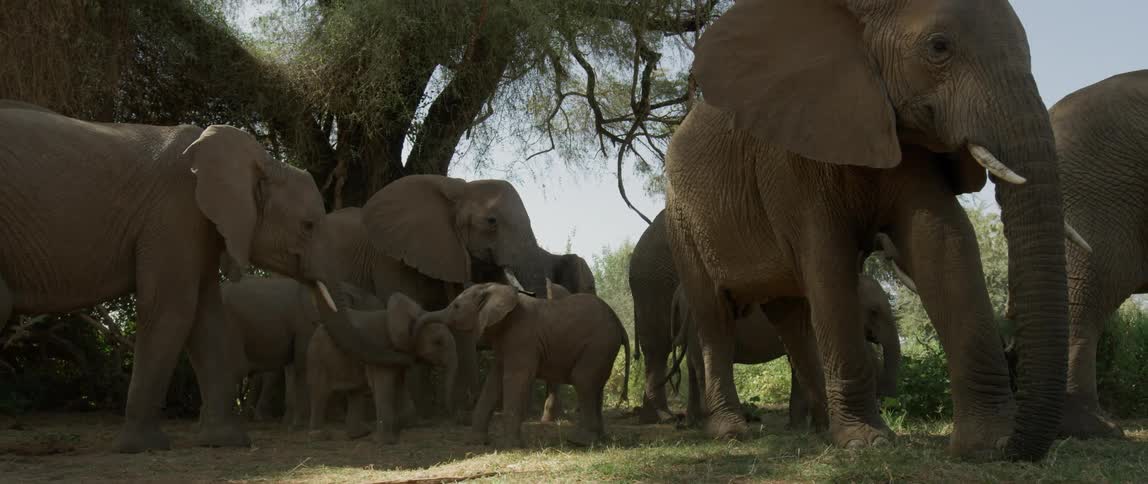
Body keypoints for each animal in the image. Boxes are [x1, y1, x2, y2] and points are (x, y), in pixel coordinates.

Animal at [0, 101, 412, 453]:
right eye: (308, 226)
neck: (259, 159)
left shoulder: (198, 225)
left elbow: (205, 316)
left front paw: (226, 442)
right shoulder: (175, 212)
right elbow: (172, 308)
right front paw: (143, 447)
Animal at [307, 291, 459, 444]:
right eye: (437, 342)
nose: (450, 416)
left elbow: (399, 382)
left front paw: (407, 425)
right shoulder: (381, 348)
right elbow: (384, 384)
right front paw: (387, 442)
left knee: (355, 392)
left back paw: (359, 434)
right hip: (318, 357)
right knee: (320, 392)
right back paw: (319, 436)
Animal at [425, 283, 630, 447]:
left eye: (456, 306)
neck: (496, 288)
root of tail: (620, 324)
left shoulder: (521, 337)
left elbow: (515, 378)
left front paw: (511, 447)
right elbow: (493, 382)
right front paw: (476, 442)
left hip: (599, 344)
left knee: (583, 380)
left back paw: (579, 441)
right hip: (603, 348)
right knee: (596, 385)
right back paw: (599, 439)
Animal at [669, 274, 900, 430]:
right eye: (874, 311)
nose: (886, 407)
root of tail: (678, 293)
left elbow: (798, 361)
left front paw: (796, 427)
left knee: (692, 367)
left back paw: (693, 424)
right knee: (701, 366)